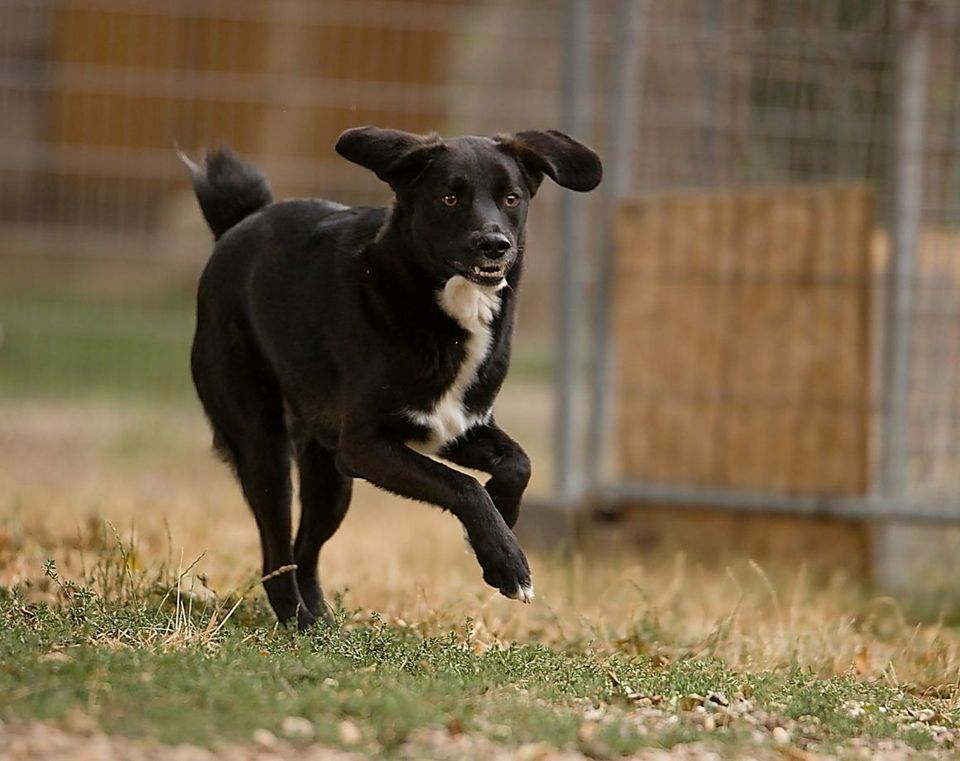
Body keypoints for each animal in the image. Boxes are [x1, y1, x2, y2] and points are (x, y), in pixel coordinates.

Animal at [180, 127, 600, 628]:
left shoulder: (454, 425)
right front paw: (506, 562)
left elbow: (519, 463)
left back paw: (323, 622)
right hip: (265, 447)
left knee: (305, 551)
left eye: (511, 198)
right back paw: (300, 622)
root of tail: (242, 222)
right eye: (449, 197)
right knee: (275, 555)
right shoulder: (365, 446)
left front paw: (503, 515)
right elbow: (463, 487)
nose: (495, 243)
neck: (445, 309)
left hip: (331, 477)